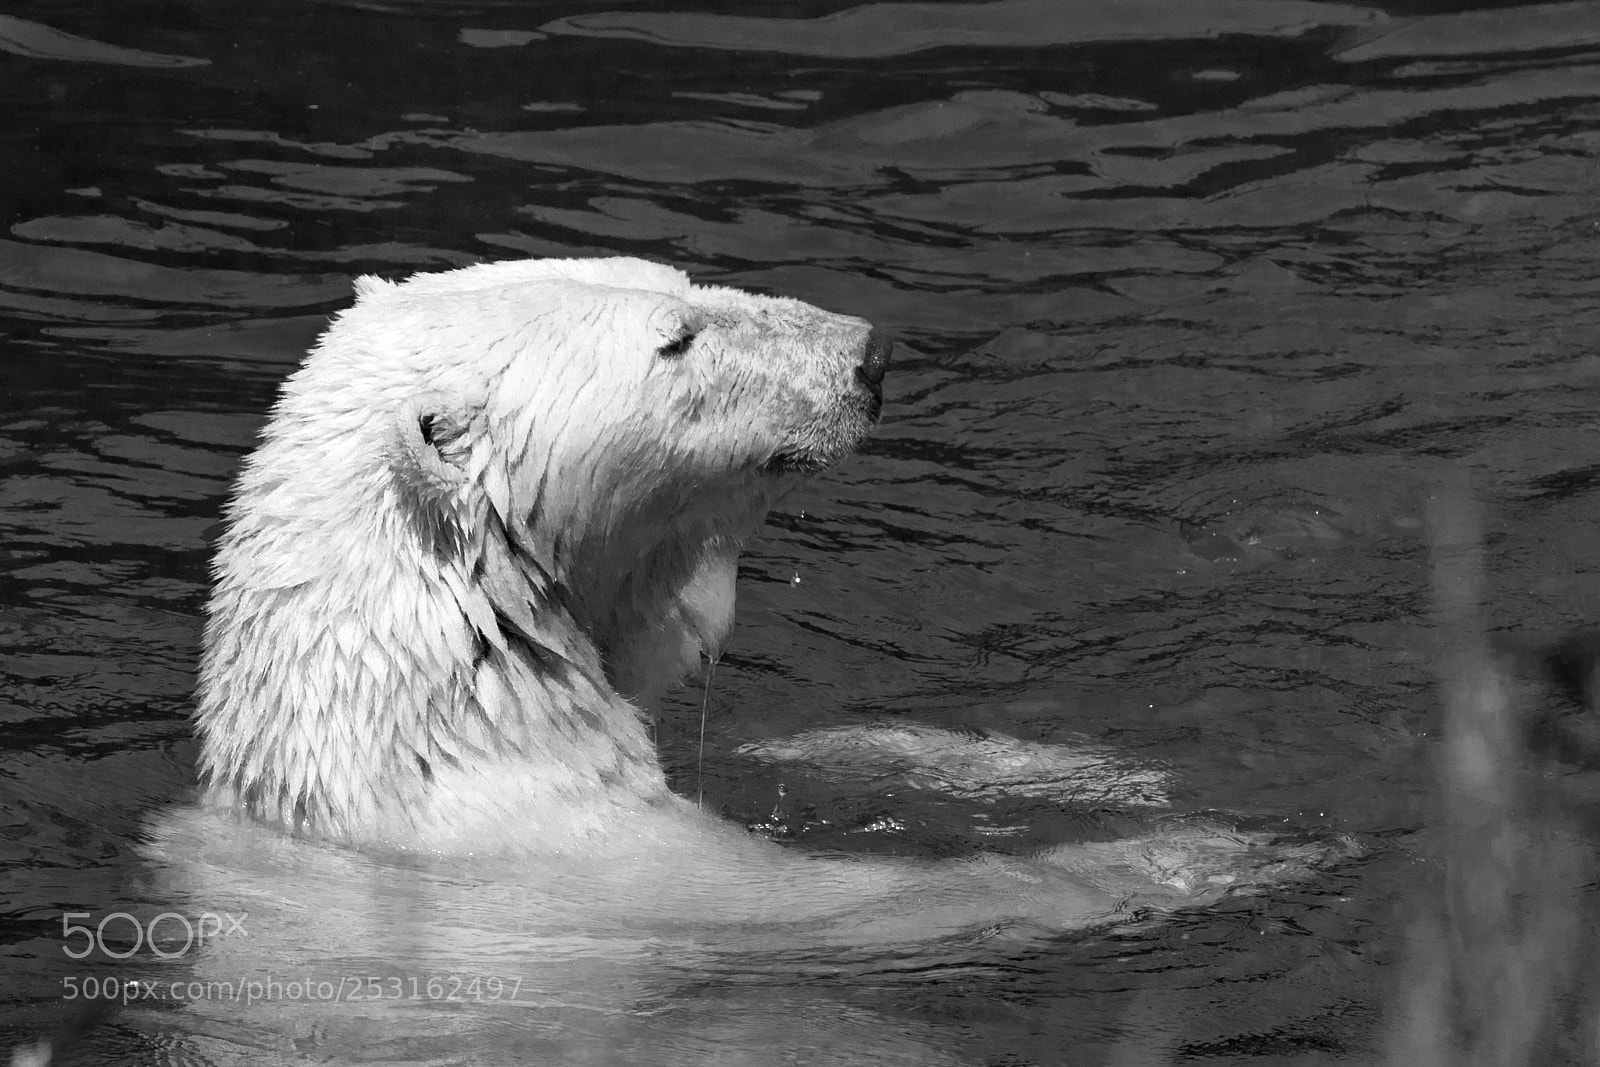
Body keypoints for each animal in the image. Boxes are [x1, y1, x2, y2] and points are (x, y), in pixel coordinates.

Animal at [188, 255, 1320, 937]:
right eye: (676, 338)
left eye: (680, 277)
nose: (869, 355)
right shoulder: (576, 858)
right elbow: (836, 900)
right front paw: (1195, 857)